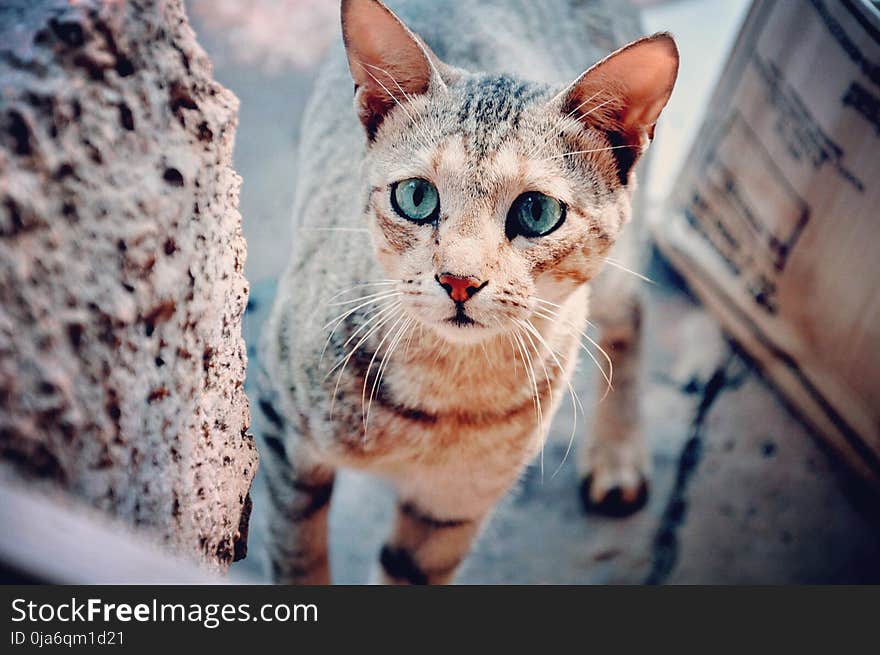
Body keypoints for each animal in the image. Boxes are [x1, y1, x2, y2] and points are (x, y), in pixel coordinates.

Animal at [258, 0, 676, 584]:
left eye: (537, 211)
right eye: (416, 196)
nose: (459, 279)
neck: (445, 389)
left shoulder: (455, 504)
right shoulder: (284, 433)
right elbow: (297, 555)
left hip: (617, 279)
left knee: (632, 314)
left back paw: (617, 454)